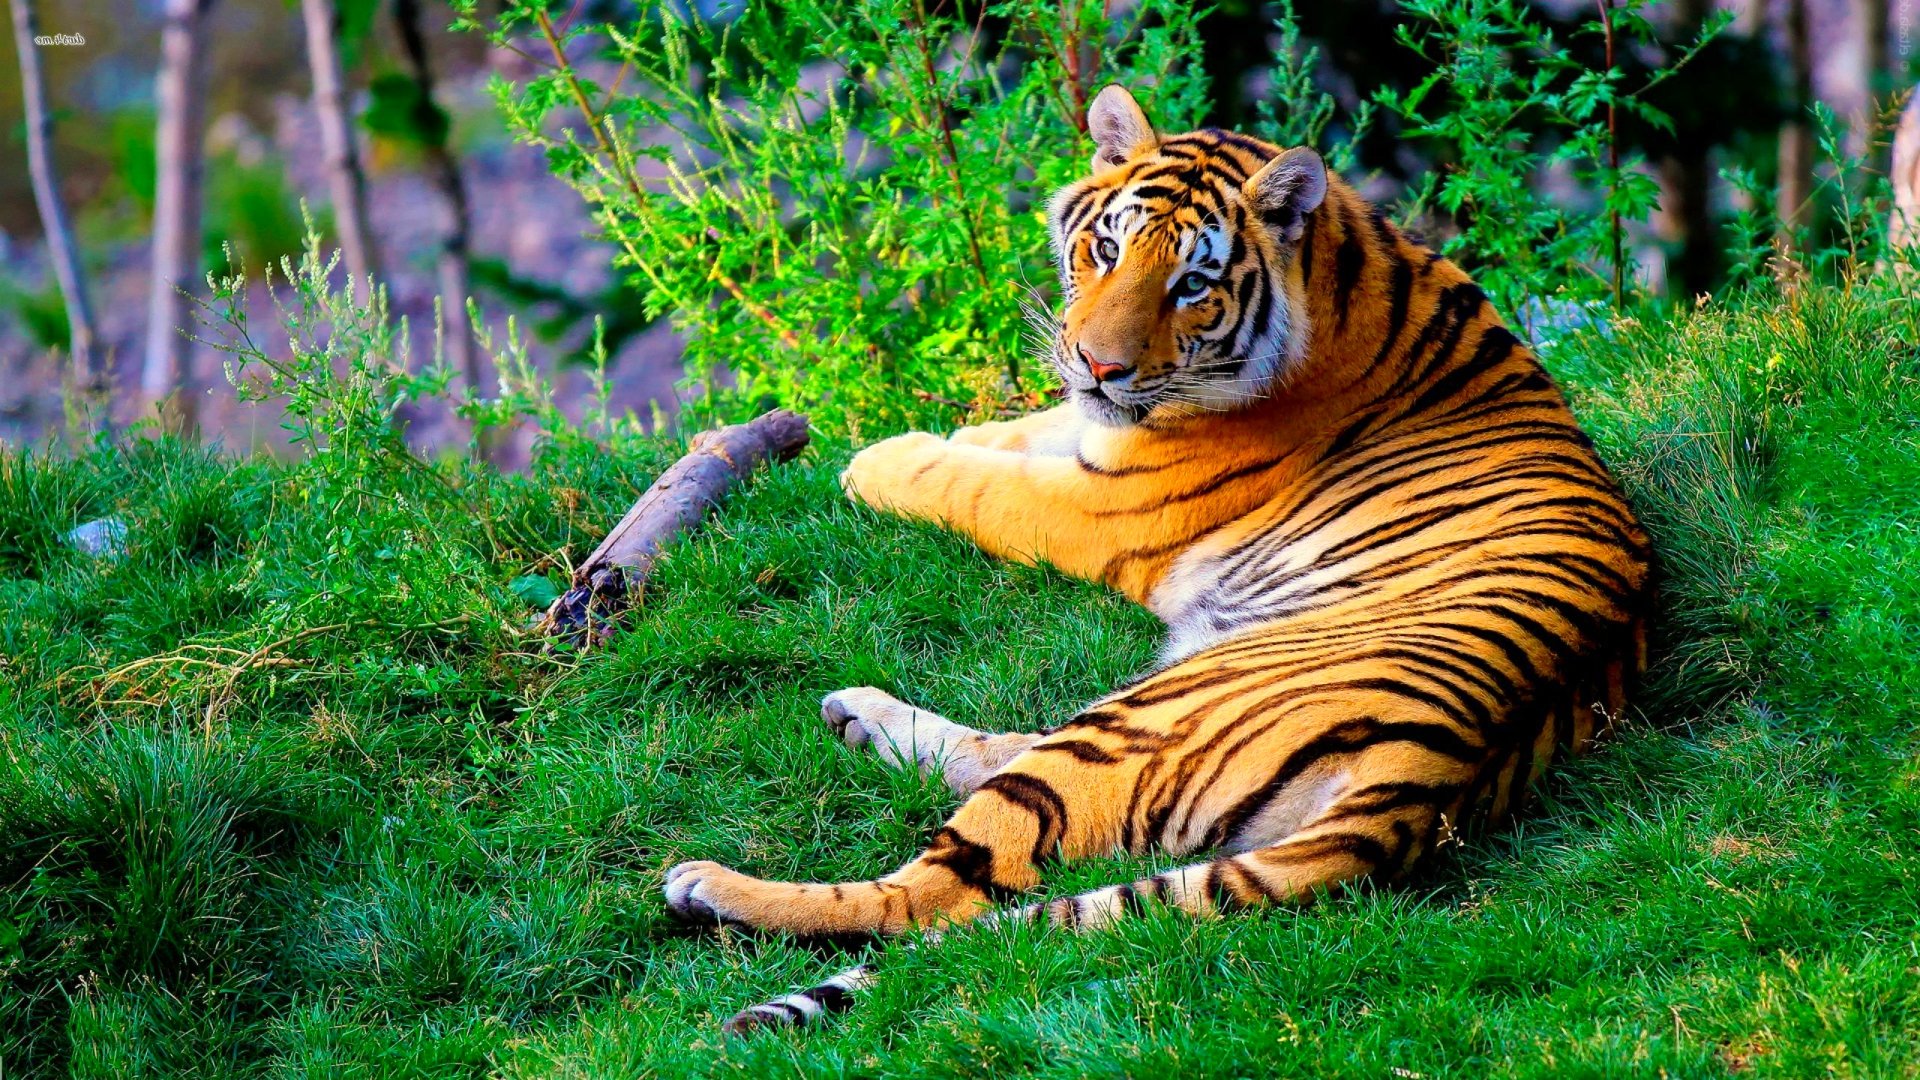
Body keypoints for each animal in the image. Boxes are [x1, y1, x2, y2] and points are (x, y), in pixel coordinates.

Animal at [664, 84, 1654, 1033]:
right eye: (1105, 249)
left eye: (1192, 285)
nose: (1100, 365)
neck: (1343, 273)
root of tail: (1432, 779)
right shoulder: (1096, 435)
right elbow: (1022, 431)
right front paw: (959, 430)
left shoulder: (1102, 506)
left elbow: (977, 484)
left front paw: (878, 459)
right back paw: (858, 717)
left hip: (1144, 717)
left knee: (935, 893)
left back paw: (712, 886)